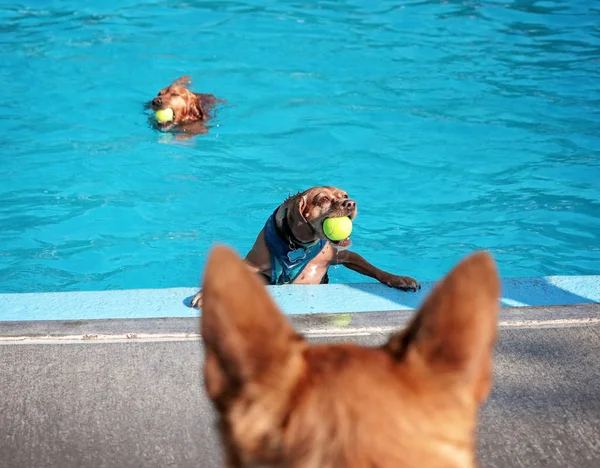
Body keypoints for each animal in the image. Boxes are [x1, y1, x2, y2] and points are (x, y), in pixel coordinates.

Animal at [190, 186, 420, 310]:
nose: (351, 203)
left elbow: (373, 268)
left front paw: (399, 279)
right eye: (323, 199)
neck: (301, 245)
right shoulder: (253, 264)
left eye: (345, 194)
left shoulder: (343, 255)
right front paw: (205, 295)